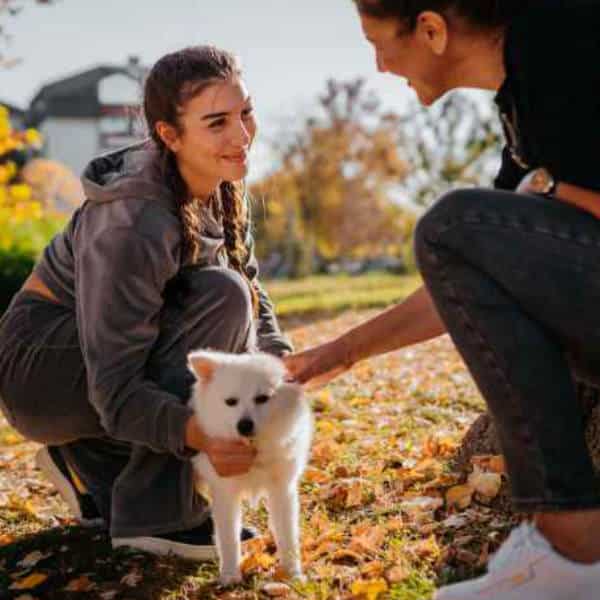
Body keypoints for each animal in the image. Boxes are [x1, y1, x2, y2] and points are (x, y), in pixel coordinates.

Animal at [188, 350, 312, 584]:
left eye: (262, 398)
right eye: (230, 402)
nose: (244, 425)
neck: (253, 448)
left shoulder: (282, 490)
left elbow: (287, 534)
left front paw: (292, 572)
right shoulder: (224, 492)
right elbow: (228, 537)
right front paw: (230, 574)